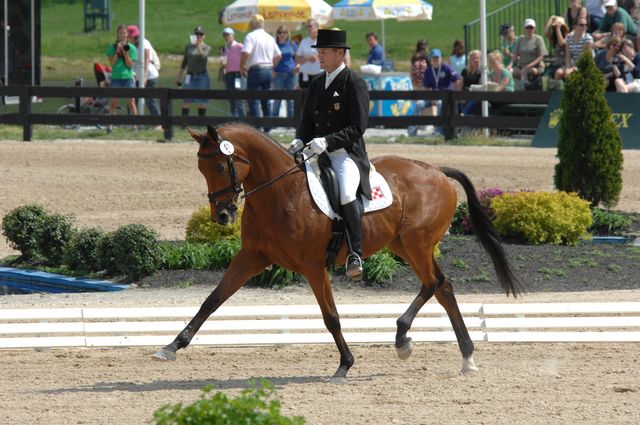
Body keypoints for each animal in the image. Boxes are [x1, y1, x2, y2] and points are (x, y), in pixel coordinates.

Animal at [155, 122, 520, 380]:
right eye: (202, 169)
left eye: (219, 167)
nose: (221, 216)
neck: (282, 192)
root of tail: (437, 171)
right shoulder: (251, 257)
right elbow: (212, 300)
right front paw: (172, 345)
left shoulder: (314, 267)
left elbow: (330, 317)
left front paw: (345, 365)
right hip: (404, 245)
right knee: (443, 287)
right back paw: (465, 357)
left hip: (416, 244)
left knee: (433, 284)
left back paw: (403, 337)